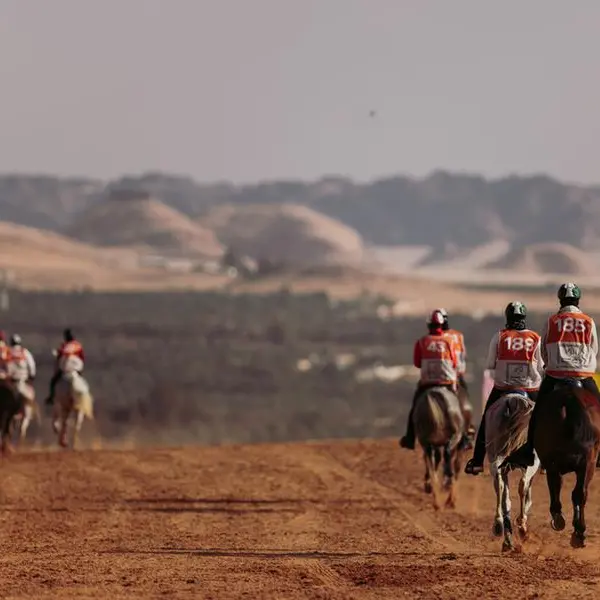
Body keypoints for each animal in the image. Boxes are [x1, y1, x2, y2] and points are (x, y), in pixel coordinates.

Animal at [486, 392, 540, 552]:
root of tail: (514, 400)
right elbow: (527, 498)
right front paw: (521, 526)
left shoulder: (505, 469)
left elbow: (506, 502)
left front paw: (507, 542)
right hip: (532, 463)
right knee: (522, 485)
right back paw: (522, 527)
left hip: (496, 458)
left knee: (499, 485)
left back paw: (498, 525)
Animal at [532, 380, 600, 548]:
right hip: (587, 462)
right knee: (579, 493)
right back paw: (579, 532)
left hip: (556, 462)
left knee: (561, 487)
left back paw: (563, 522)